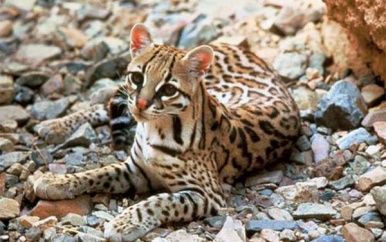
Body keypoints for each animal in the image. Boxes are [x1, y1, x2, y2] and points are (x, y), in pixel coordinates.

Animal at [34, 23, 300, 241]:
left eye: (169, 89)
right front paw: (56, 180)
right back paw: (56, 125)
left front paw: (123, 223)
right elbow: (97, 172)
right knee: (104, 105)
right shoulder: (135, 168)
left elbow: (157, 202)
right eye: (137, 77)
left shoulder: (207, 193)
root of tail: (234, 45)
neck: (155, 128)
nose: (141, 104)